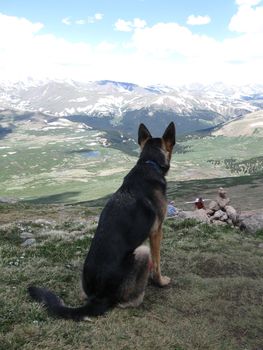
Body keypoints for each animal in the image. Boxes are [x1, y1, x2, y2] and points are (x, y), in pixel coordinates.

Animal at [28, 122, 175, 320]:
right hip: (142, 252)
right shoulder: (156, 231)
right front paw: (160, 281)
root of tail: (98, 297)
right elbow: (158, 263)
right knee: (125, 302)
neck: (149, 163)